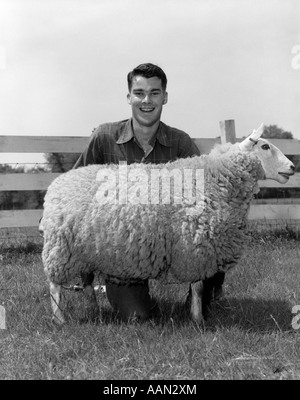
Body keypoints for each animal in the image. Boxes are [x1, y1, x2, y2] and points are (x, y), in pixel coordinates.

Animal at [38, 124, 294, 324]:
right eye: (264, 146)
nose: (292, 167)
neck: (215, 179)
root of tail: (57, 185)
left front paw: (195, 315)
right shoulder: (194, 248)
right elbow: (198, 287)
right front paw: (198, 320)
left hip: (86, 250)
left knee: (87, 282)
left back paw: (94, 310)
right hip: (60, 249)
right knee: (54, 286)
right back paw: (60, 319)